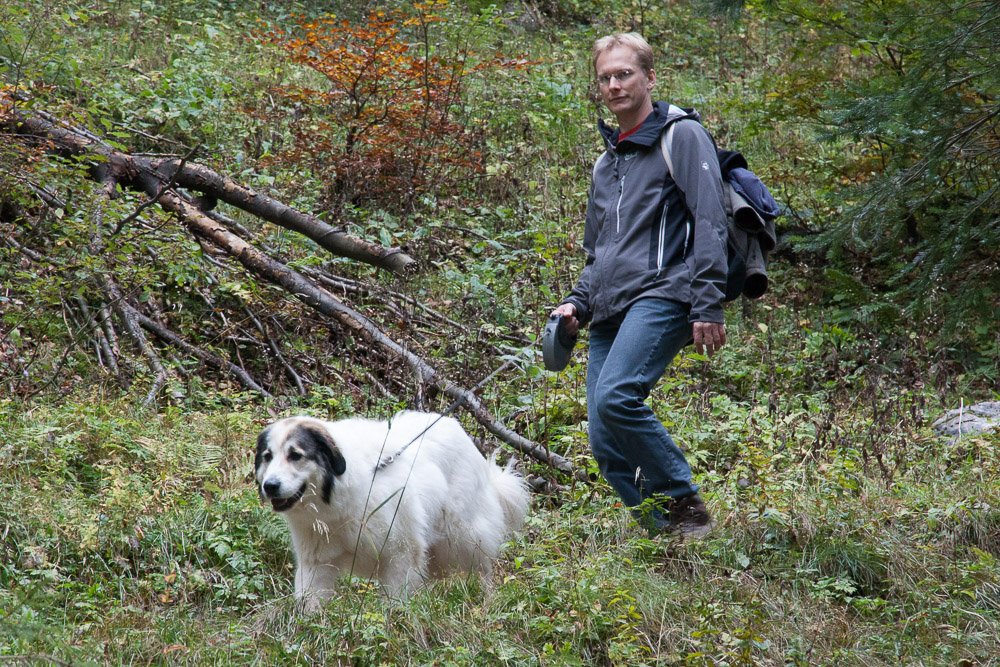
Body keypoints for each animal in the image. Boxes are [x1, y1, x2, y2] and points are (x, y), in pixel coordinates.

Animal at [256, 410, 532, 608]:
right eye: (268, 456)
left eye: (295, 455)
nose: (269, 486)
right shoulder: (316, 562)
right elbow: (310, 601)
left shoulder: (401, 553)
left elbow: (395, 601)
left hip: (463, 536)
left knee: (483, 569)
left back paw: (487, 602)